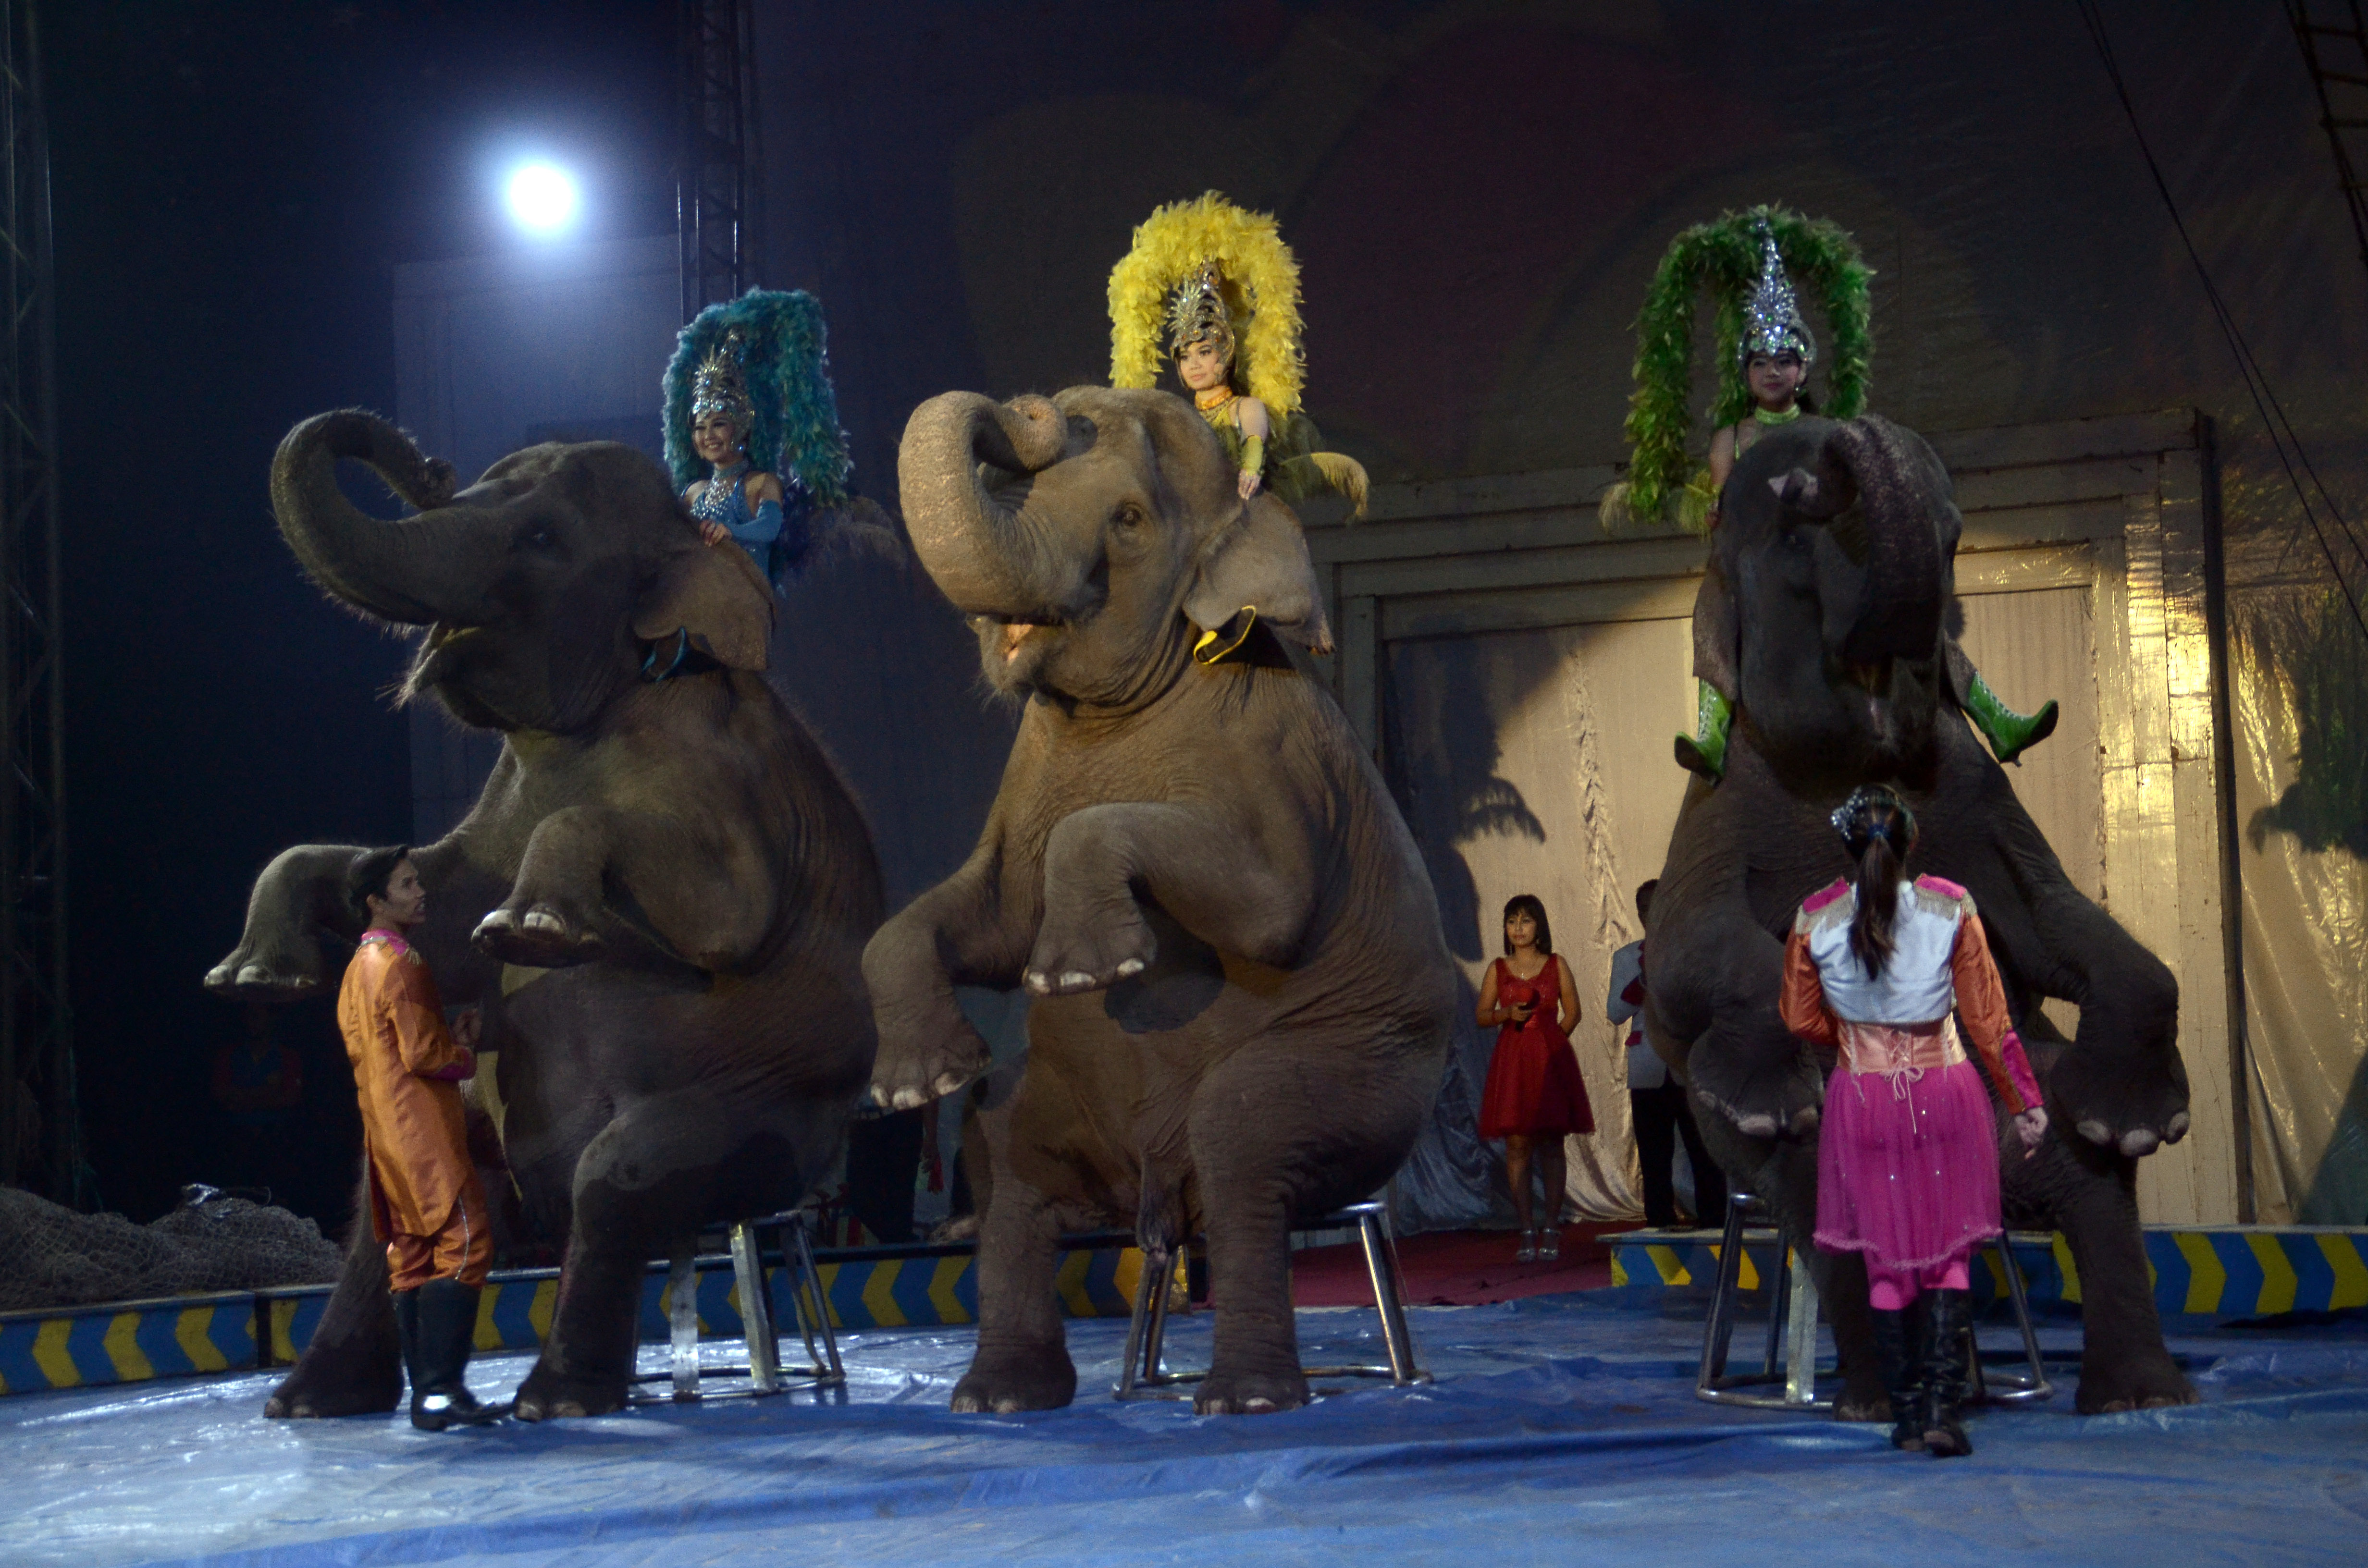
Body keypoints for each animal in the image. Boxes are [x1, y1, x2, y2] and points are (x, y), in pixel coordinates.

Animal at [203, 414, 886, 1421]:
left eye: (540, 537)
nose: (426, 463)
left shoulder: (726, 781)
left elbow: (721, 914)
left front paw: (529, 929)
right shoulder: (502, 800)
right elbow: (438, 908)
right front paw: (254, 976)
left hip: (766, 1115)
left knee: (617, 1175)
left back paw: (554, 1399)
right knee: (396, 1205)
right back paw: (314, 1401)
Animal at [871, 386, 1458, 1421]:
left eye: (1128, 519)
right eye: (1023, 484)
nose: (1029, 408)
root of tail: (1150, 1192)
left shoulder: (1271, 758)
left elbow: (1267, 908)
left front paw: (1084, 968)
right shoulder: (1025, 780)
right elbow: (988, 919)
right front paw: (915, 1082)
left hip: (1363, 1078)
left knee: (1242, 1138)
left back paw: (1242, 1399)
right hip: (1060, 1113)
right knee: (1004, 1151)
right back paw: (1001, 1398)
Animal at [1648, 412, 2197, 1421]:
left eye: (1953, 538)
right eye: (1790, 536)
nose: (1831, 426)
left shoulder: (1974, 793)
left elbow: (2054, 919)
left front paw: (2141, 1121)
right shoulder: (1711, 817)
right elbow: (1681, 962)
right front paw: (1766, 1084)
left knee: (2085, 1174)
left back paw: (2132, 1396)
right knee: (1813, 1182)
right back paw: (1877, 1402)